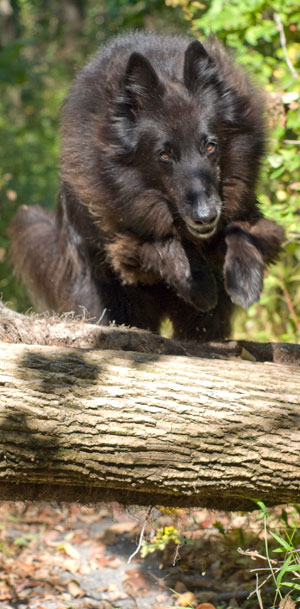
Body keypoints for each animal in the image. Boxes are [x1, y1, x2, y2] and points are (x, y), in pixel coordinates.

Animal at [10, 32, 284, 342]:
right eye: (164, 155)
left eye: (210, 146)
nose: (204, 217)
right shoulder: (126, 239)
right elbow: (165, 244)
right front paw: (200, 286)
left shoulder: (242, 208)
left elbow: (239, 229)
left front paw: (244, 278)